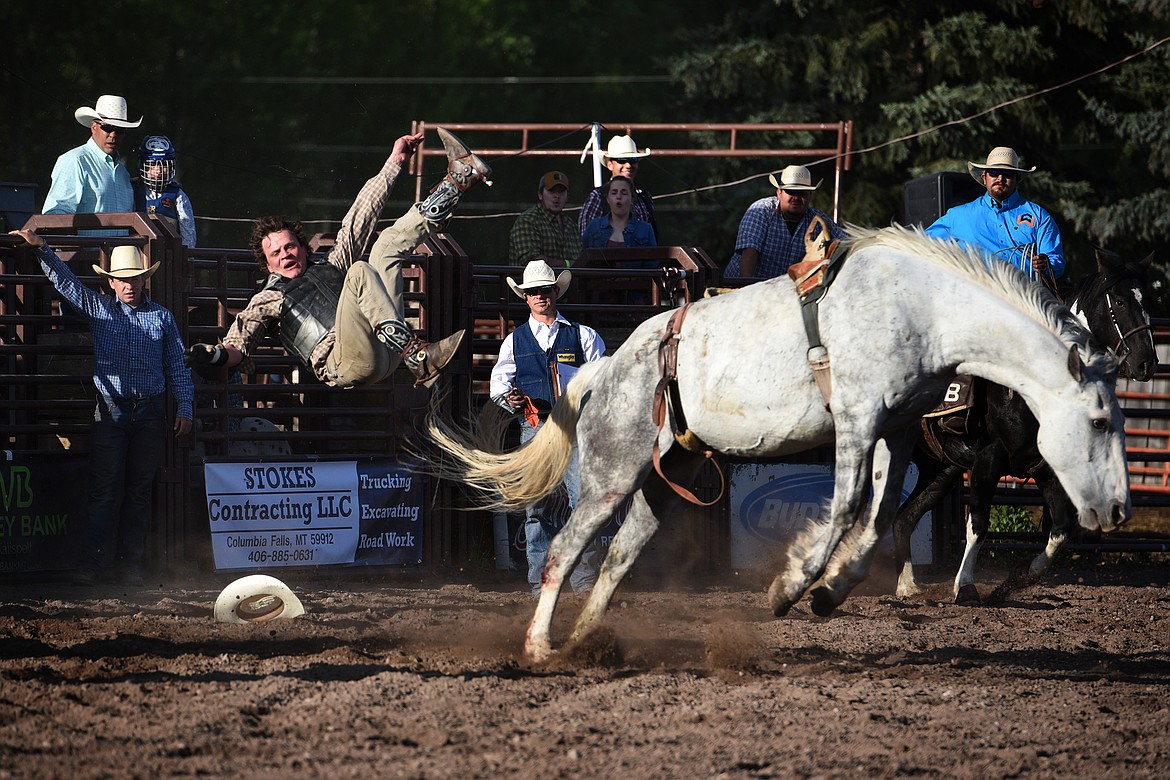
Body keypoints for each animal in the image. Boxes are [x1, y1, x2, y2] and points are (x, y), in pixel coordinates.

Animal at [425, 222, 1127, 664]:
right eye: (1099, 420)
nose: (1117, 510)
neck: (923, 309)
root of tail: (604, 369)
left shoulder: (897, 429)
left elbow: (879, 517)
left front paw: (831, 592)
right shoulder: (858, 420)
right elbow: (846, 509)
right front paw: (790, 588)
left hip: (664, 481)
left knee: (617, 558)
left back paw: (585, 645)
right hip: (610, 476)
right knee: (563, 550)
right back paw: (540, 647)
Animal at [889, 250, 1155, 603]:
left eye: (1147, 298)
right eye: (1121, 301)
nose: (1147, 363)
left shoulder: (1048, 469)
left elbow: (1061, 530)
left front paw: (1022, 577)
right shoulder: (987, 459)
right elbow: (978, 524)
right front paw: (966, 587)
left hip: (939, 468)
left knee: (903, 519)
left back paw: (907, 586)